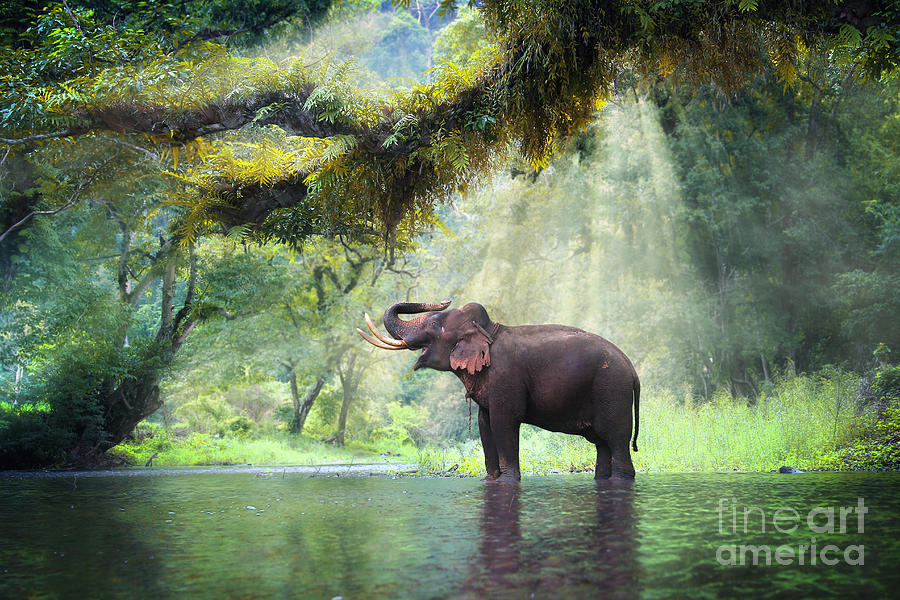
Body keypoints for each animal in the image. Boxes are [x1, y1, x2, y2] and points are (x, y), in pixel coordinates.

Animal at [358, 300, 640, 482]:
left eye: (435, 324)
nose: (444, 300)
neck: (489, 330)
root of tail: (633, 371)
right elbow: (485, 424)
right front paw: (491, 479)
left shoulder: (506, 378)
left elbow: (504, 422)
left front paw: (508, 481)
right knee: (602, 444)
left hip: (613, 391)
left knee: (616, 441)